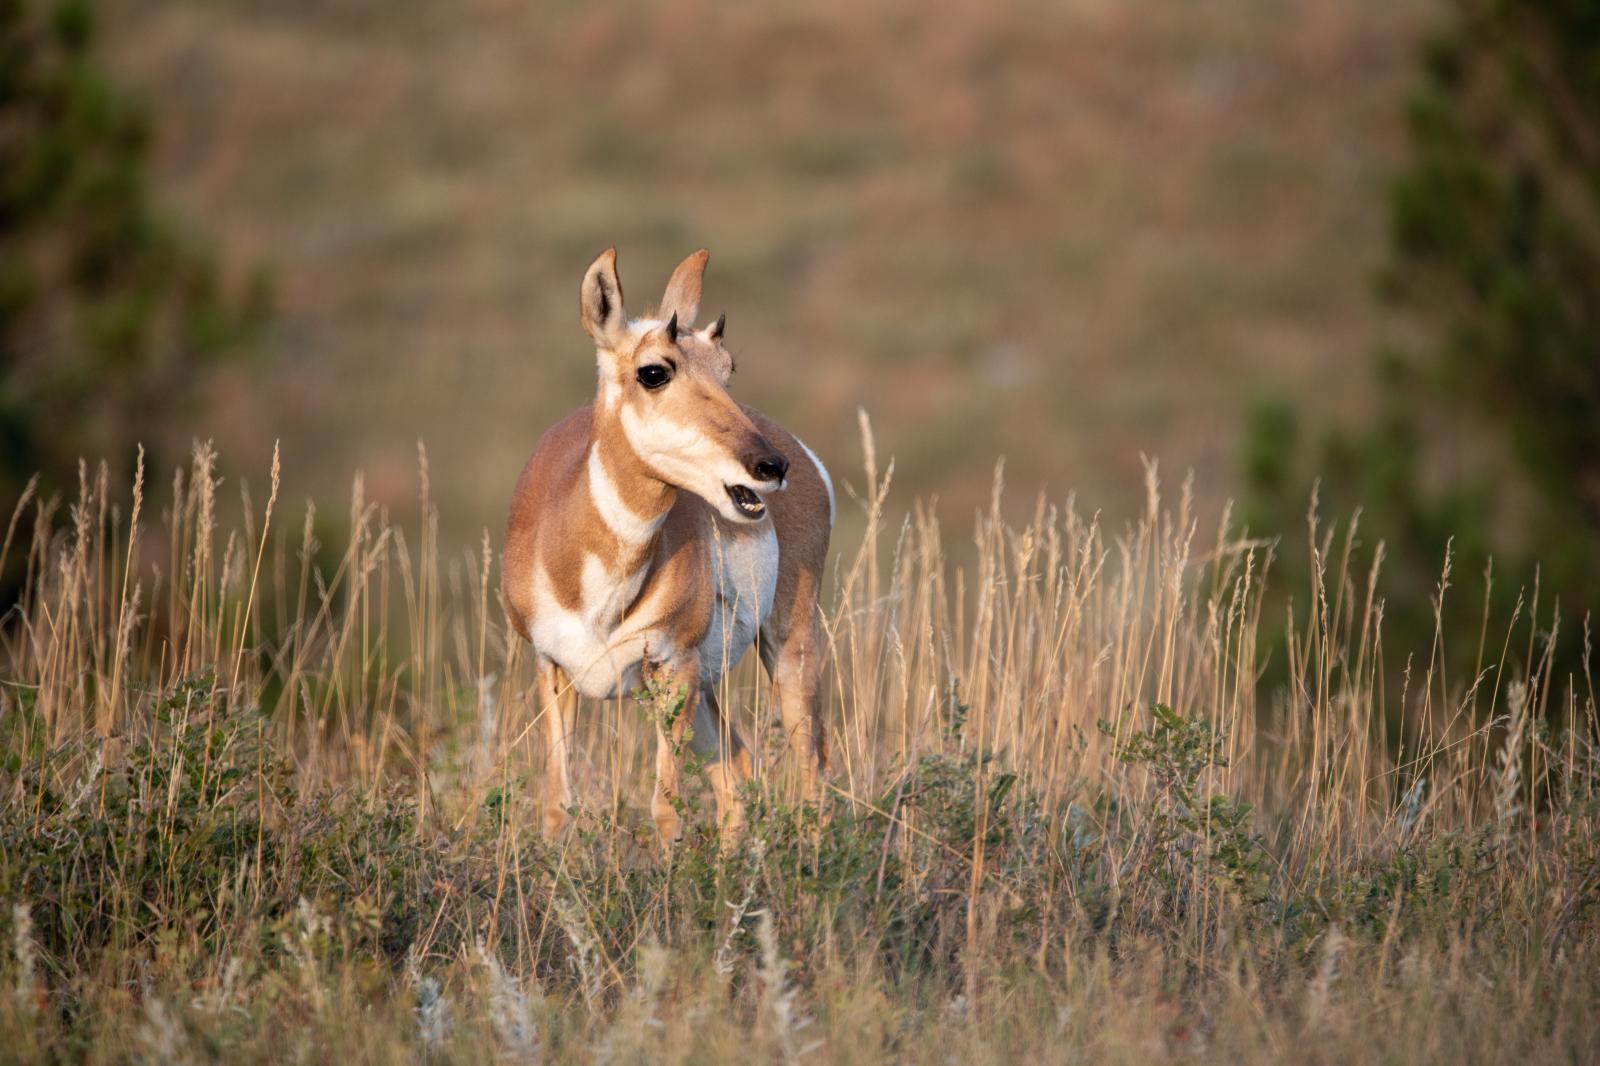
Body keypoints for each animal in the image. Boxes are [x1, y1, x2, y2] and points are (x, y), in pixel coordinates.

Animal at [502, 244, 838, 845]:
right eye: (654, 371)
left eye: (728, 369)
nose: (770, 466)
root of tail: (802, 449)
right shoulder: (550, 667)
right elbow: (558, 806)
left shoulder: (672, 667)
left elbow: (666, 809)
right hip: (705, 687)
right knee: (738, 770)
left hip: (788, 647)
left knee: (811, 768)